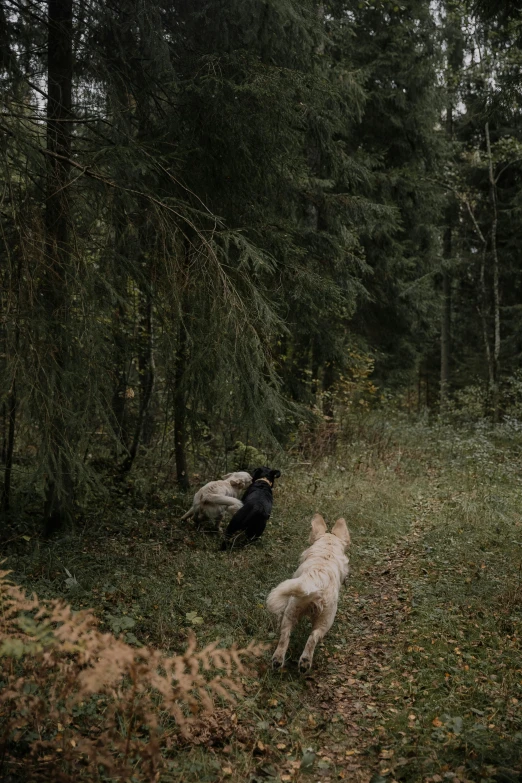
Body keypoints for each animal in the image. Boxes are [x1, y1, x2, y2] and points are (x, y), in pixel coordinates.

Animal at [264, 516, 350, 672]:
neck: (327, 551)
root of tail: (318, 582)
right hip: (325, 618)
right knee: (310, 638)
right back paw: (302, 662)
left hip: (296, 611)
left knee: (288, 637)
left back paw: (285, 661)